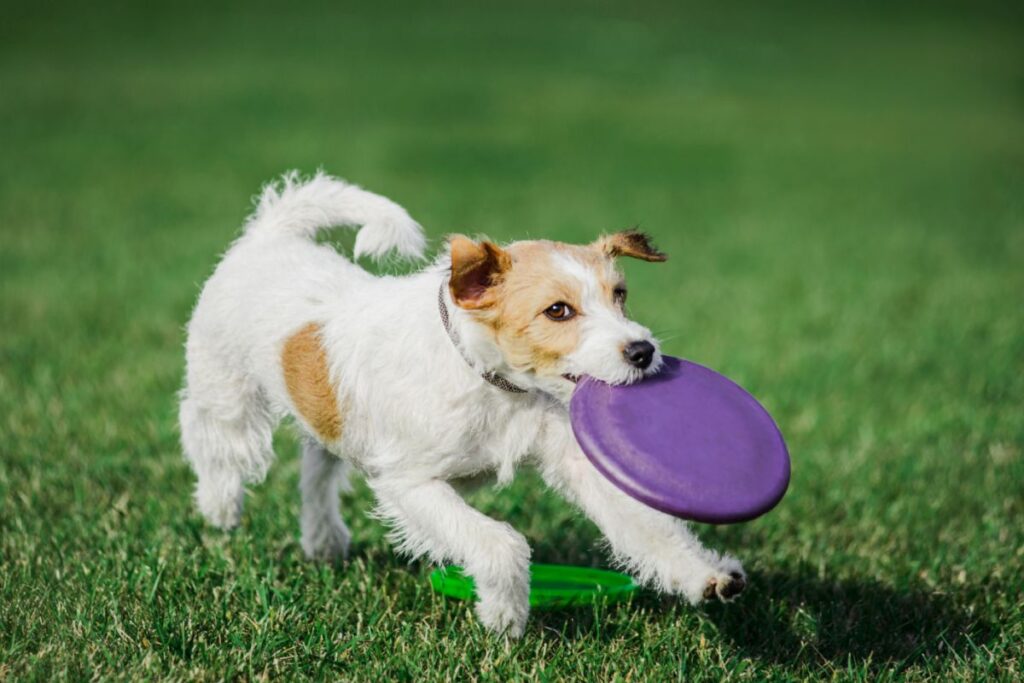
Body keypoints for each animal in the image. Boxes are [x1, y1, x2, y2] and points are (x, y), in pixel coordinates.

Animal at [180, 171, 749, 634]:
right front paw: (506, 613)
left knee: (317, 469)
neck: (492, 382)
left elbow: (644, 523)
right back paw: (220, 507)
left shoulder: (572, 457)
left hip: (329, 415)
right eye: (557, 311)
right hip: (225, 391)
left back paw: (323, 540)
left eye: (620, 295)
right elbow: (498, 541)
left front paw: (708, 575)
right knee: (213, 441)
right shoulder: (411, 483)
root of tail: (271, 235)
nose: (642, 351)